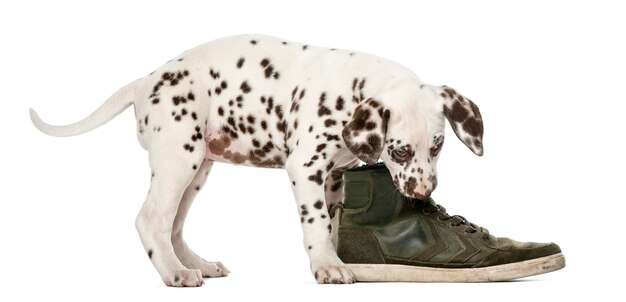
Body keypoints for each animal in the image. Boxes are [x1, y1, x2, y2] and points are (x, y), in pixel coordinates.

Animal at [29, 34, 482, 286]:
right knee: (151, 220)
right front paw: (326, 267)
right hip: (179, 159)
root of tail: (145, 82)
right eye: (399, 150)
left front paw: (336, 257)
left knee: (174, 227)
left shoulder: (334, 175)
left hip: (197, 170)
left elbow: (332, 224)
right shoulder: (306, 168)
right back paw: (174, 273)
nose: (422, 193)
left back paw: (196, 265)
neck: (352, 88)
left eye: (438, 146)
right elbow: (316, 225)